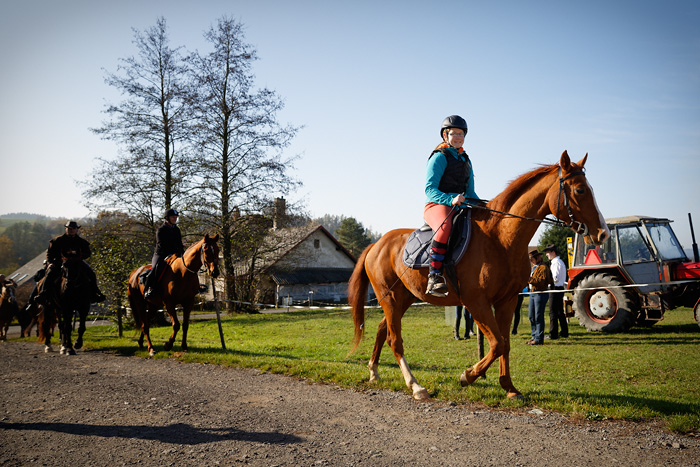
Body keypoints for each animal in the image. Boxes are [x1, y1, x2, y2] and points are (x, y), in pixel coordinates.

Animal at [348, 152, 608, 400]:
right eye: (580, 190)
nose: (602, 233)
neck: (500, 238)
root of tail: (376, 244)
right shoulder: (476, 302)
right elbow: (497, 343)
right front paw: (469, 375)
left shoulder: (506, 301)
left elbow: (505, 344)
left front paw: (509, 387)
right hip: (390, 298)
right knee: (394, 339)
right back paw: (415, 386)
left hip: (404, 298)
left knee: (383, 329)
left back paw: (374, 372)